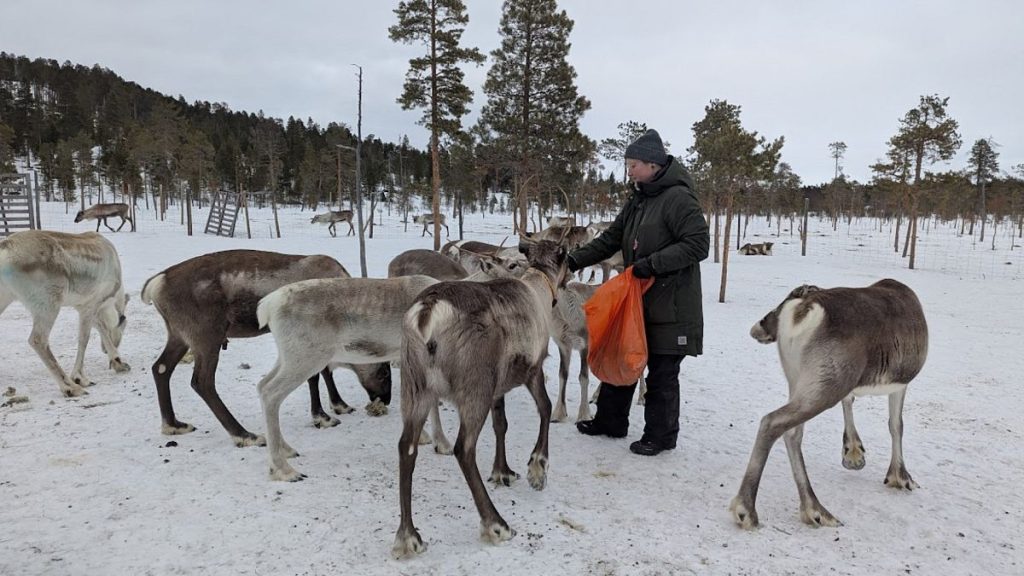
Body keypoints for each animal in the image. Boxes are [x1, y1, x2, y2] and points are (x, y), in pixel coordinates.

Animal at [0, 230, 130, 397]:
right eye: (123, 324)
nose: (104, 350)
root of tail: (4, 247)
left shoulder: (82, 306)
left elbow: (99, 327)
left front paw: (118, 362)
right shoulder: (90, 304)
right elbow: (84, 338)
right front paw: (80, 378)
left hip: (6, 297)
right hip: (48, 303)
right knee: (37, 340)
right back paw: (70, 387)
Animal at [141, 250, 390, 448]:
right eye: (384, 372)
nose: (385, 400)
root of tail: (156, 283)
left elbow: (325, 371)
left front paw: (339, 405)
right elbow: (315, 375)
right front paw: (322, 416)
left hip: (179, 335)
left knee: (161, 368)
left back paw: (173, 424)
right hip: (207, 335)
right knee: (202, 381)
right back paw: (244, 435)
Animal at [254, 274, 440, 481]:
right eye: (383, 373)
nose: (385, 400)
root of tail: (267, 305)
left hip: (287, 358)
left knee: (262, 385)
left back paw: (286, 450)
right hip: (306, 359)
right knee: (270, 393)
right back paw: (284, 470)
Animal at [392, 237, 568, 559]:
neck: (537, 283)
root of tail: (428, 311)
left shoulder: (498, 387)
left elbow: (501, 425)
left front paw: (502, 472)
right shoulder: (533, 369)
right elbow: (546, 409)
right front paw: (537, 468)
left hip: (414, 386)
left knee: (406, 447)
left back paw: (409, 536)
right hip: (475, 387)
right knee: (464, 448)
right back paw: (496, 523)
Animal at [730, 279, 928, 530]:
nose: (758, 328)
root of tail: (805, 308)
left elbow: (852, 402)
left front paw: (853, 453)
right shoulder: (900, 384)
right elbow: (896, 425)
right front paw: (900, 477)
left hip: (799, 381)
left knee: (792, 433)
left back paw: (814, 509)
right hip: (827, 385)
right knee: (772, 422)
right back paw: (746, 509)